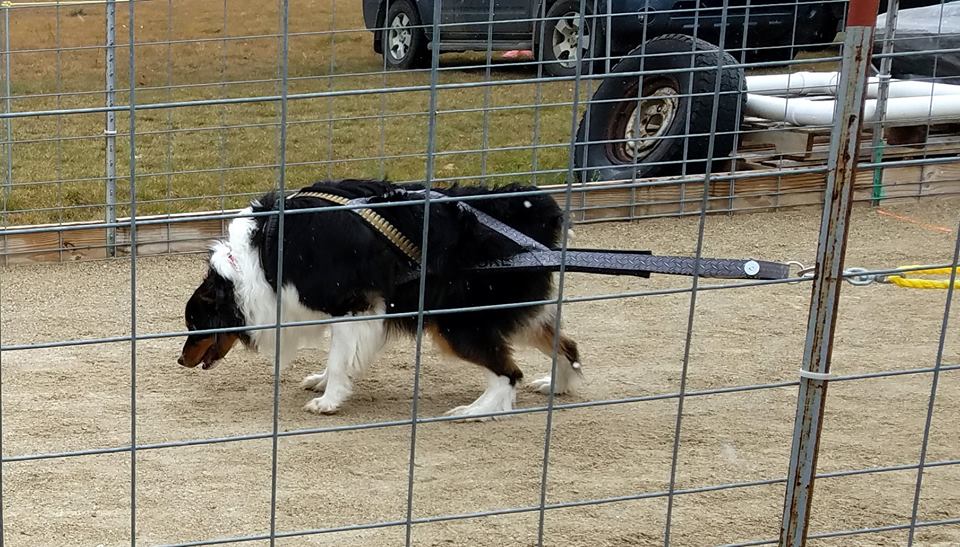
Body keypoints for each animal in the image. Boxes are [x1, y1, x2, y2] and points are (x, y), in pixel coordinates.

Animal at [178, 180, 584, 420]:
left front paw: (329, 399)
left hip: (454, 322)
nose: (180, 360)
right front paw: (323, 382)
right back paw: (556, 385)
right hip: (515, 312)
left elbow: (339, 358)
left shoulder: (353, 307)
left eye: (195, 324)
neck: (256, 259)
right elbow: (340, 357)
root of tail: (539, 213)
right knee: (566, 344)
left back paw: (474, 410)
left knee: (508, 372)